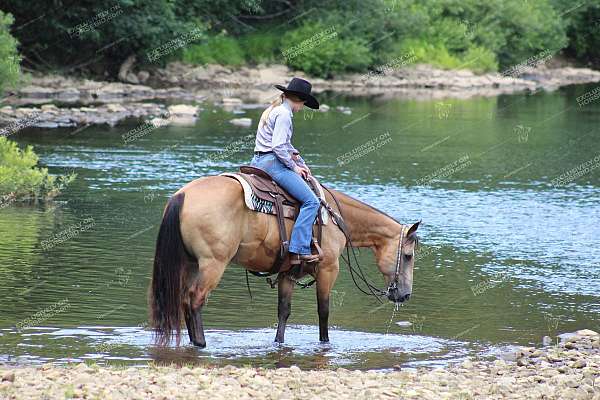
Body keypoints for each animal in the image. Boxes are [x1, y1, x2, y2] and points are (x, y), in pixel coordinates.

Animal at [149, 173, 422, 346]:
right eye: (408, 256)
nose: (405, 294)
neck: (335, 217)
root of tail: (182, 195)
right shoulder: (328, 270)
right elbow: (324, 311)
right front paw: (325, 343)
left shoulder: (287, 274)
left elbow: (283, 311)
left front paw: (278, 342)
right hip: (212, 264)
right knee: (195, 300)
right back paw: (201, 343)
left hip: (190, 264)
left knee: (183, 300)